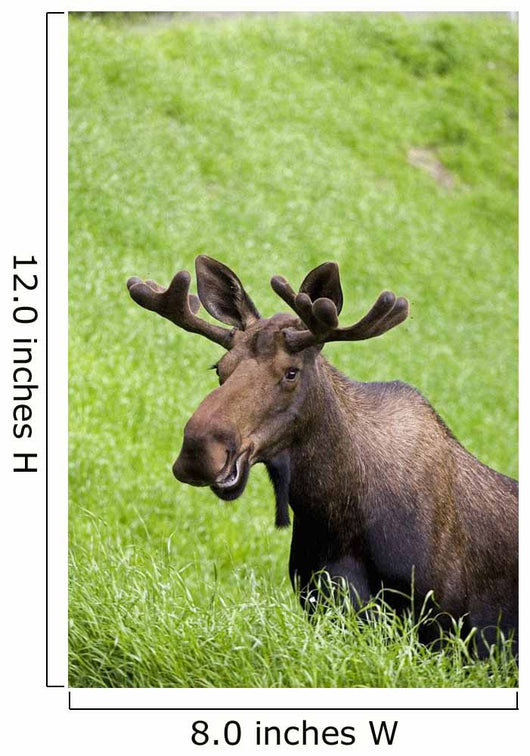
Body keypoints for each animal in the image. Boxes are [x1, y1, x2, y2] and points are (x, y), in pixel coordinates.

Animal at [127, 255, 518, 657]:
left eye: (291, 372)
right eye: (219, 369)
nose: (198, 451)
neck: (334, 514)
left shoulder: (451, 629)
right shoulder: (324, 605)